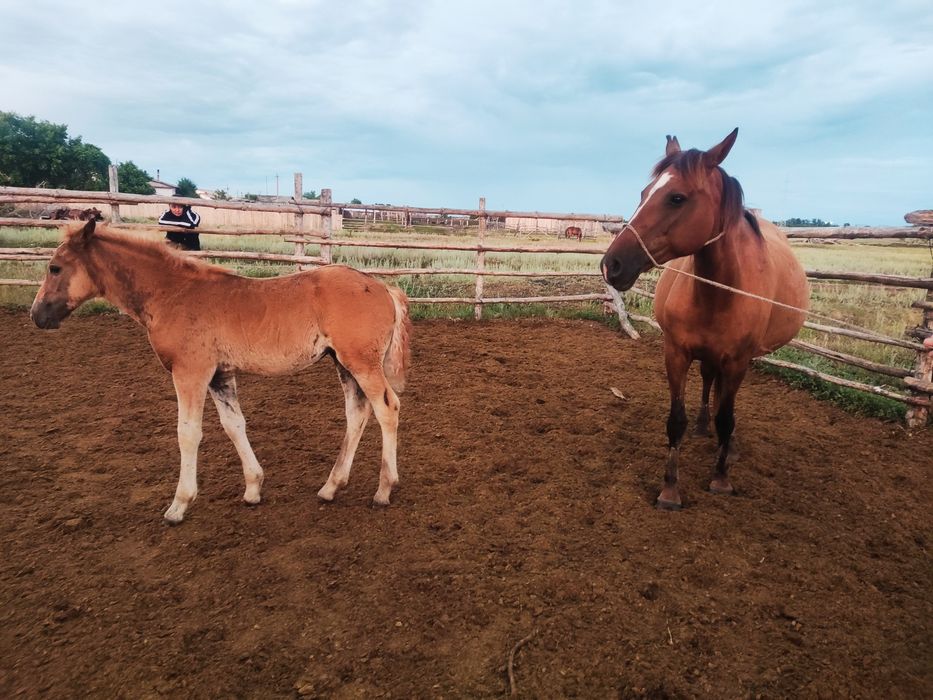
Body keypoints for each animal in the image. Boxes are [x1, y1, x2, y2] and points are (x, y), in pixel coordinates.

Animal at [30, 220, 412, 524]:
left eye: (55, 268)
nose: (37, 315)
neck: (172, 294)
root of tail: (384, 288)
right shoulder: (219, 375)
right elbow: (234, 425)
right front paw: (253, 489)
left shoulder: (191, 373)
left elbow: (188, 433)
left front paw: (178, 506)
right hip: (343, 364)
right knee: (357, 413)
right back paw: (331, 487)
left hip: (361, 363)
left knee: (387, 408)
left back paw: (384, 490)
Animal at [601, 129, 808, 509]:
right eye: (643, 193)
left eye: (676, 198)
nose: (612, 264)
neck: (720, 293)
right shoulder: (675, 353)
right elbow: (676, 420)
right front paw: (670, 488)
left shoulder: (738, 360)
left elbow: (727, 418)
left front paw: (721, 477)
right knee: (710, 381)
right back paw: (702, 426)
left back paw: (728, 445)